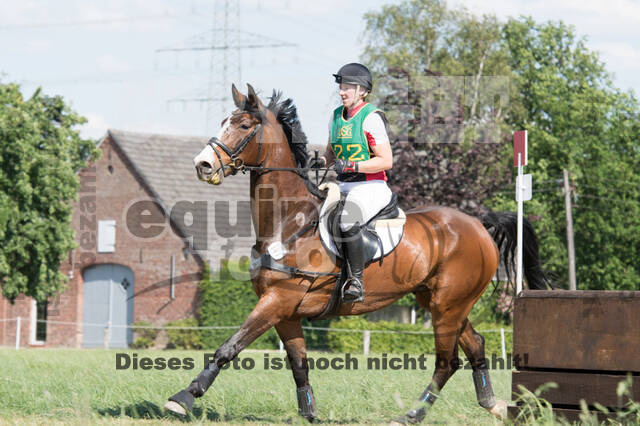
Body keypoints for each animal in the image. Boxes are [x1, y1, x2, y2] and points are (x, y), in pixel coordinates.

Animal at [164, 84, 550, 424]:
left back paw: (412, 415)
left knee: (447, 360)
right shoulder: (285, 310)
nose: (202, 165)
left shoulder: (277, 300)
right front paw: (309, 413)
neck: (289, 222)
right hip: (440, 302)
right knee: (475, 345)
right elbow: (298, 362)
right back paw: (493, 405)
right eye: (223, 122)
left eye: (244, 126)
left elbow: (230, 347)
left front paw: (184, 397)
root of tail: (477, 224)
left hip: (448, 305)